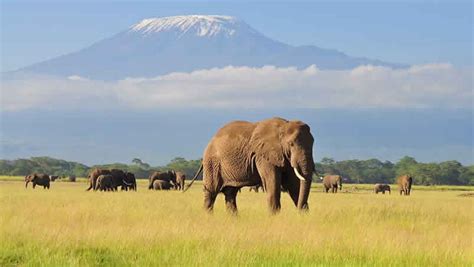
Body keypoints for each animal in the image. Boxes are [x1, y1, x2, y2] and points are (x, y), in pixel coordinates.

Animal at [185, 118, 314, 215]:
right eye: (291, 144)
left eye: (313, 143)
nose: (298, 211)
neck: (284, 125)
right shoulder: (263, 156)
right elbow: (272, 183)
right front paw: (274, 217)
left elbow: (294, 184)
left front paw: (303, 216)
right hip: (213, 163)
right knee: (211, 192)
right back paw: (208, 217)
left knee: (230, 193)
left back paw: (234, 220)